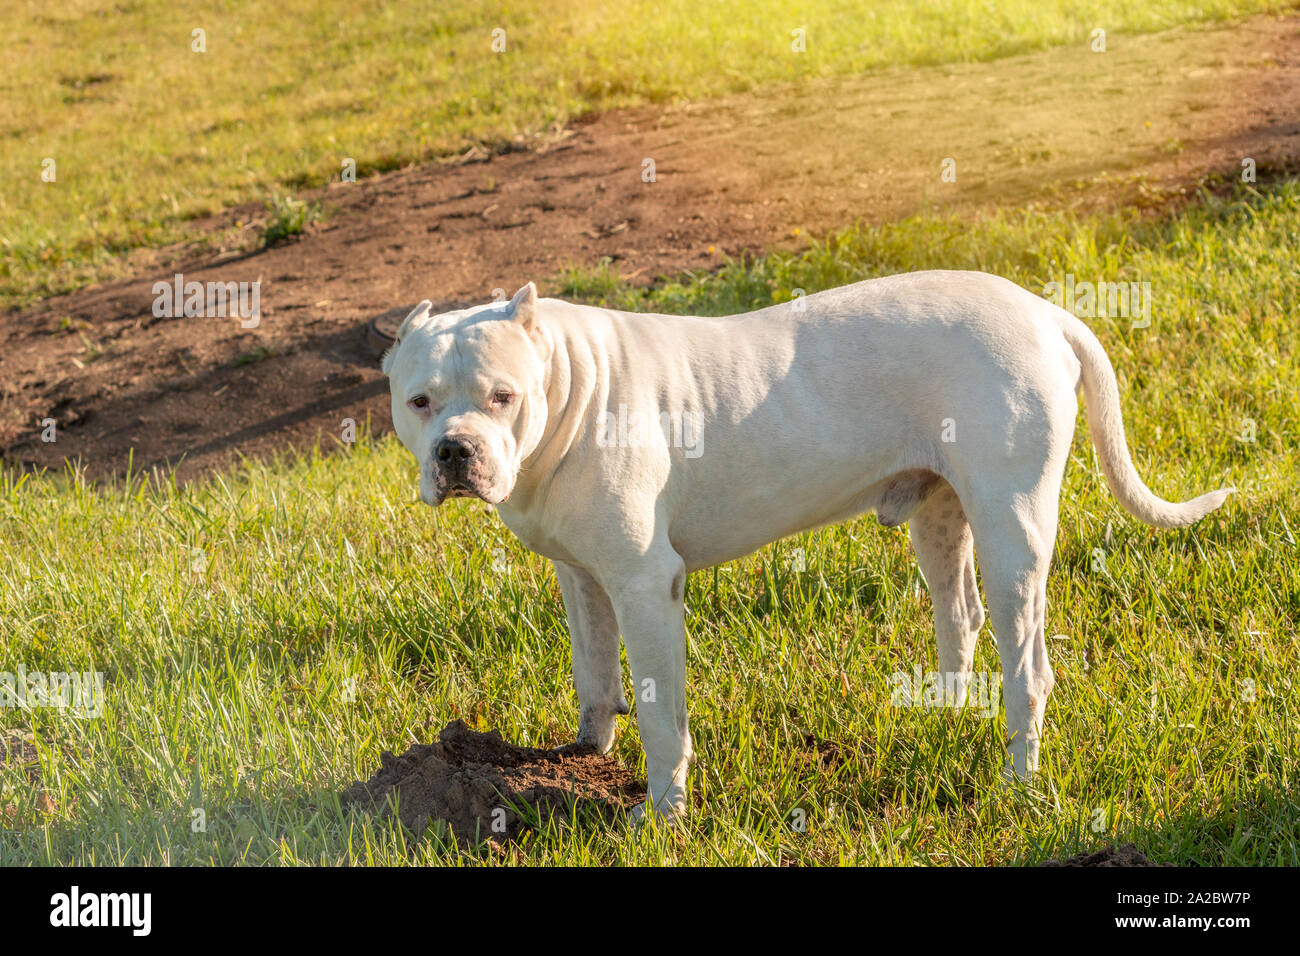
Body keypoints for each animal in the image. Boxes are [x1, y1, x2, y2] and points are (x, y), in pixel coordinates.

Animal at [382, 270, 1227, 822]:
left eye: (502, 396)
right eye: (419, 401)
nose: (455, 451)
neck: (569, 381)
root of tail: (1046, 313)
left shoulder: (647, 587)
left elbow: (661, 714)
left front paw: (663, 816)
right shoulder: (582, 578)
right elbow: (595, 678)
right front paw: (583, 763)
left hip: (1012, 529)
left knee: (1029, 668)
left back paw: (1018, 785)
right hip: (941, 518)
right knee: (960, 616)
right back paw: (946, 717)